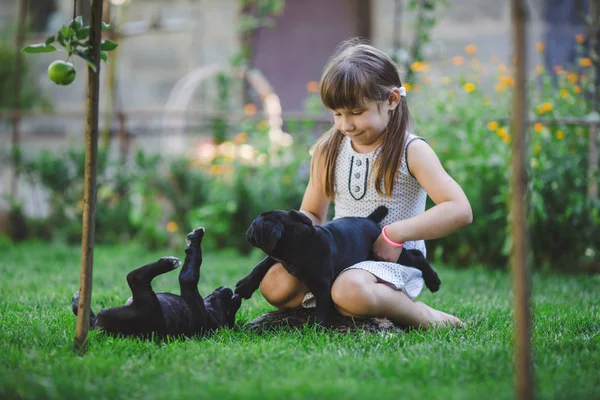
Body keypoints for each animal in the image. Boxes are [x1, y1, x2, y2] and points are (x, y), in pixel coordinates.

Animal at [74, 228, 243, 338]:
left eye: (228, 310)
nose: (230, 290)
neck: (210, 312)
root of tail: (101, 328)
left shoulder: (188, 283)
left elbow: (191, 267)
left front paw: (194, 239)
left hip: (146, 302)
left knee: (134, 277)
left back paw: (168, 263)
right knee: (84, 314)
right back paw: (78, 298)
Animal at [234, 206, 440, 324]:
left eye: (253, 225)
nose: (246, 231)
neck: (300, 240)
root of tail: (370, 220)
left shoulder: (323, 286)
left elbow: (322, 308)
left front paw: (317, 330)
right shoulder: (279, 257)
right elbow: (262, 263)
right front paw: (245, 285)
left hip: (388, 256)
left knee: (417, 257)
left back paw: (433, 280)